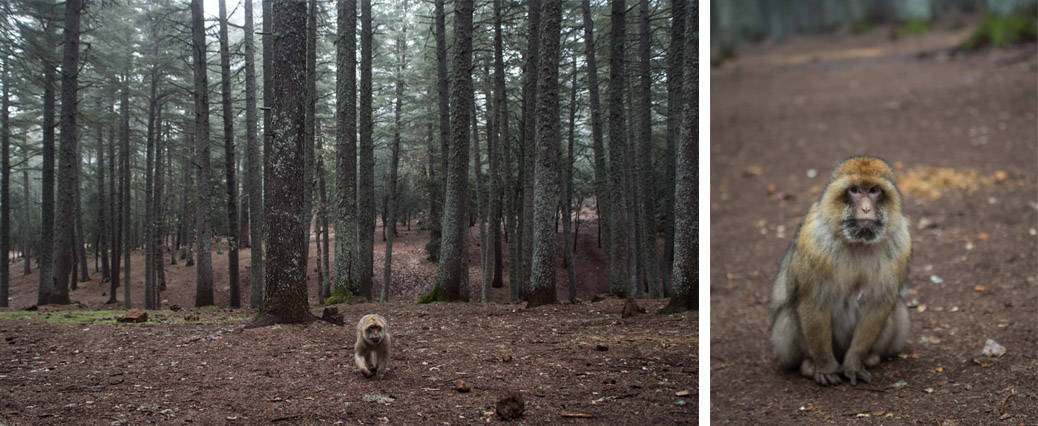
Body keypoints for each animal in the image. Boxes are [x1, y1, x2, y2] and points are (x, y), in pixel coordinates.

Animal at [772, 156, 909, 386]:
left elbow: (878, 303)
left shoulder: (901, 243)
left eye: (874, 190)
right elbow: (813, 301)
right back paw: (809, 364)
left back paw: (870, 358)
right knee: (789, 312)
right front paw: (825, 368)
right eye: (855, 190)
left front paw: (854, 365)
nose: (866, 209)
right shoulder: (814, 240)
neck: (858, 242)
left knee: (897, 308)